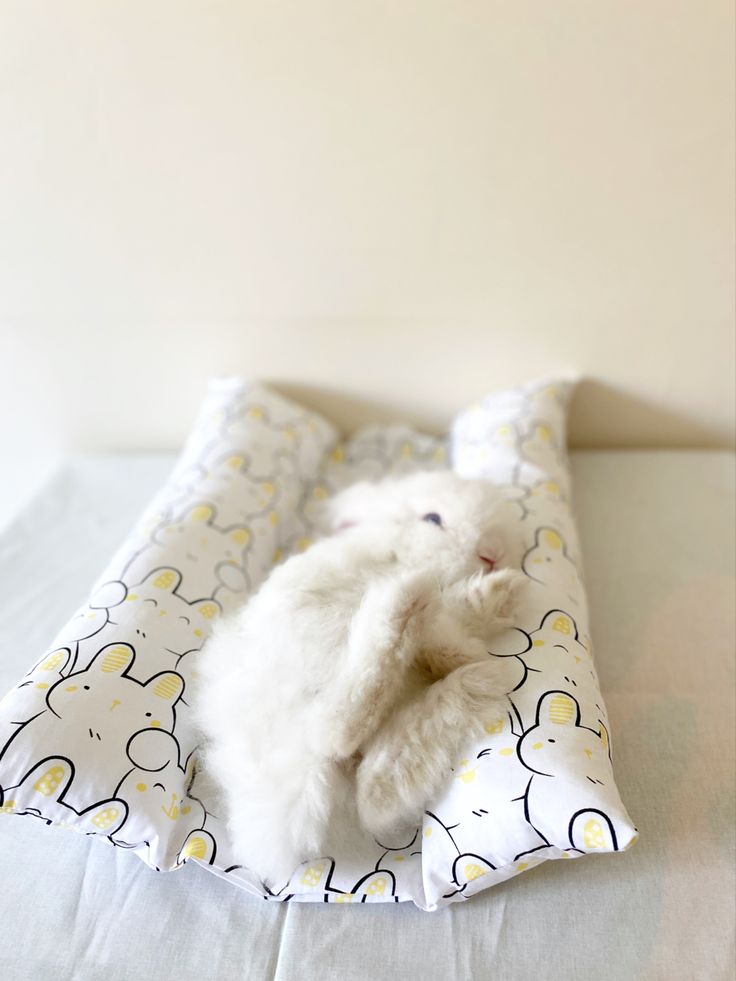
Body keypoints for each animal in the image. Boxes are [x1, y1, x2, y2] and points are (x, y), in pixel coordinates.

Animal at [193, 468, 528, 888]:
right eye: (433, 518)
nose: (492, 555)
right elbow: (447, 621)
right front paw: (467, 623)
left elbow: (458, 619)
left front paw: (499, 596)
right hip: (310, 675)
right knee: (334, 730)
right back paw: (407, 606)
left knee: (374, 797)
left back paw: (476, 673)